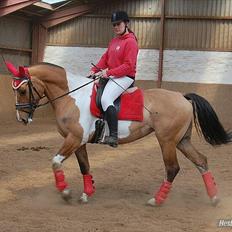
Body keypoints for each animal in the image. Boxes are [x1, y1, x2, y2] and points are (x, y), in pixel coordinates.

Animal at [5, 61, 230, 207]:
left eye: (22, 90)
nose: (21, 119)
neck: (72, 96)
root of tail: (182, 97)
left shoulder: (74, 139)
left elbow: (55, 161)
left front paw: (66, 192)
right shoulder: (79, 142)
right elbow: (85, 167)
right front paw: (87, 193)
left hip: (166, 141)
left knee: (172, 168)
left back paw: (156, 200)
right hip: (181, 140)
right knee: (201, 161)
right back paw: (214, 198)